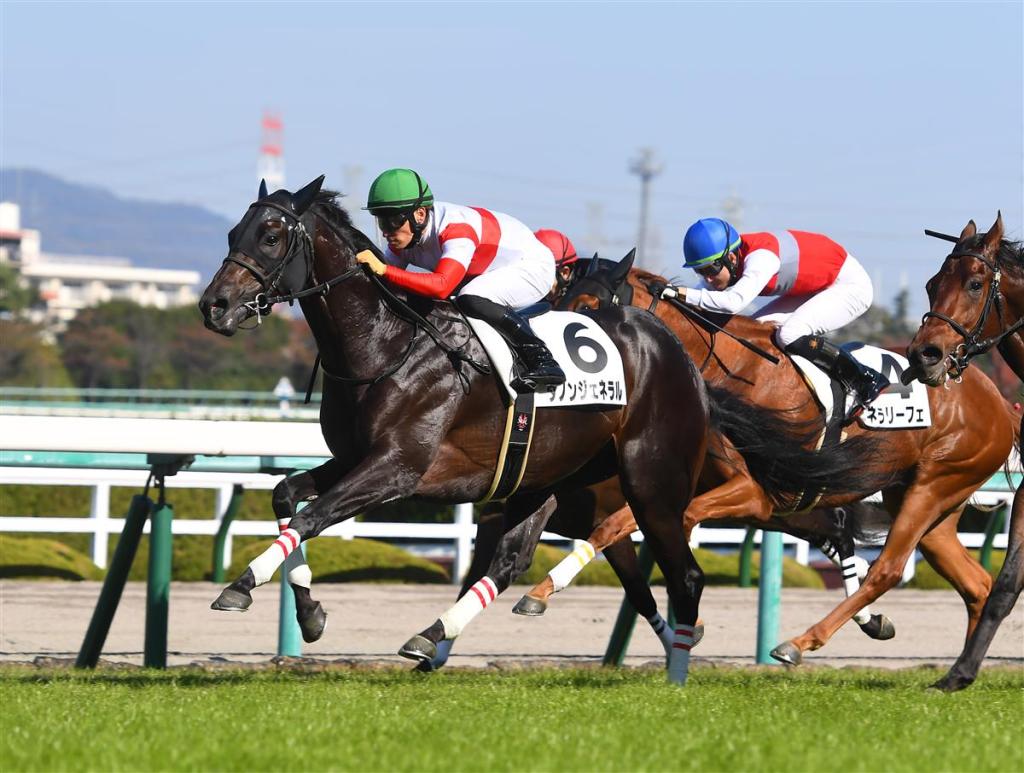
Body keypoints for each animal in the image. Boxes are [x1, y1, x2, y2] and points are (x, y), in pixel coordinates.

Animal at [198, 176, 712, 684]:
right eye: (232, 234)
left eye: (270, 237)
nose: (212, 306)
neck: (386, 345)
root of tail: (672, 347)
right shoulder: (355, 459)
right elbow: (286, 497)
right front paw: (308, 612)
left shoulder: (398, 467)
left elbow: (311, 518)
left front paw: (240, 585)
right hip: (548, 477)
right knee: (510, 560)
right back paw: (431, 636)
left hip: (650, 483)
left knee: (686, 576)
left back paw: (678, 675)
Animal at [548, 251, 1017, 666]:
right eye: (556, 301)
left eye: (588, 306)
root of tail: (996, 399)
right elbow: (614, 524)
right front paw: (546, 587)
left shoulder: (754, 493)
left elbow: (667, 523)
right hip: (928, 503)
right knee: (975, 583)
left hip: (933, 486)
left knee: (886, 568)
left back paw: (800, 642)